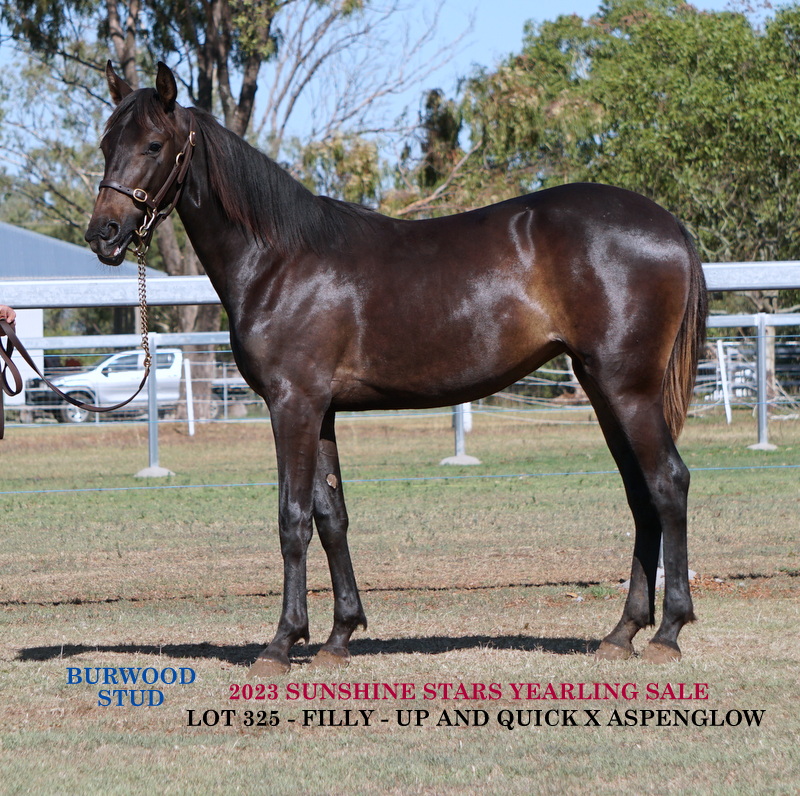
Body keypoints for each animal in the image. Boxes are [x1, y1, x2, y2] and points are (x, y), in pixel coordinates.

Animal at [86, 63, 707, 675]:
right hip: (602, 388)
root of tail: (670, 226)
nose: (103, 233)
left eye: (153, 144)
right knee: (640, 494)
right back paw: (622, 633)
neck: (279, 260)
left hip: (629, 389)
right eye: (106, 143)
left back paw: (668, 632)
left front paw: (282, 643)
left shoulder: (293, 404)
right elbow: (331, 516)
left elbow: (293, 519)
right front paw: (339, 635)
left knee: (667, 483)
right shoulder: (322, 411)